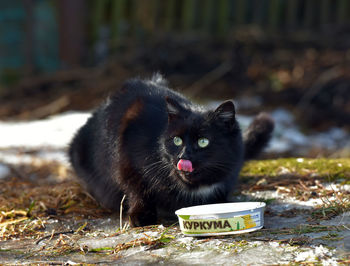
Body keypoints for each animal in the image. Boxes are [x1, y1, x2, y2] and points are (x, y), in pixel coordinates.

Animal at [69, 75, 274, 227]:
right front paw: (141, 215)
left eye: (203, 141)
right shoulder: (125, 158)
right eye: (177, 140)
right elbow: (136, 187)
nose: (184, 156)